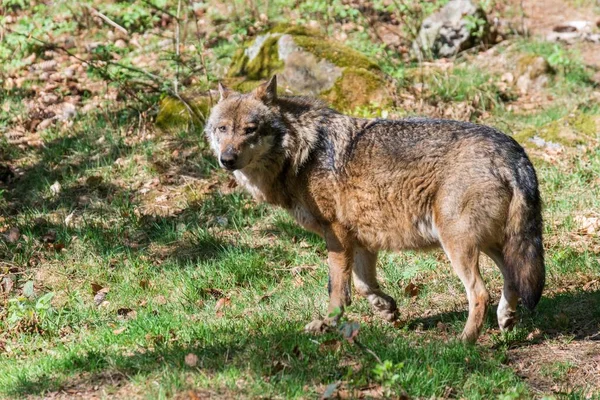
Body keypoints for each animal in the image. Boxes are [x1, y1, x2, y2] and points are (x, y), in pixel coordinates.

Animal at [205, 76, 544, 344]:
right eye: (222, 128)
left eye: (250, 129)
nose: (227, 159)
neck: (302, 152)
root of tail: (512, 150)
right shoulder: (359, 239)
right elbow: (363, 284)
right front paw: (388, 310)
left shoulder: (336, 234)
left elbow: (337, 290)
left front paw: (328, 325)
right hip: (490, 242)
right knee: (512, 278)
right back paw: (506, 319)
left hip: (458, 244)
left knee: (479, 293)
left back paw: (463, 342)